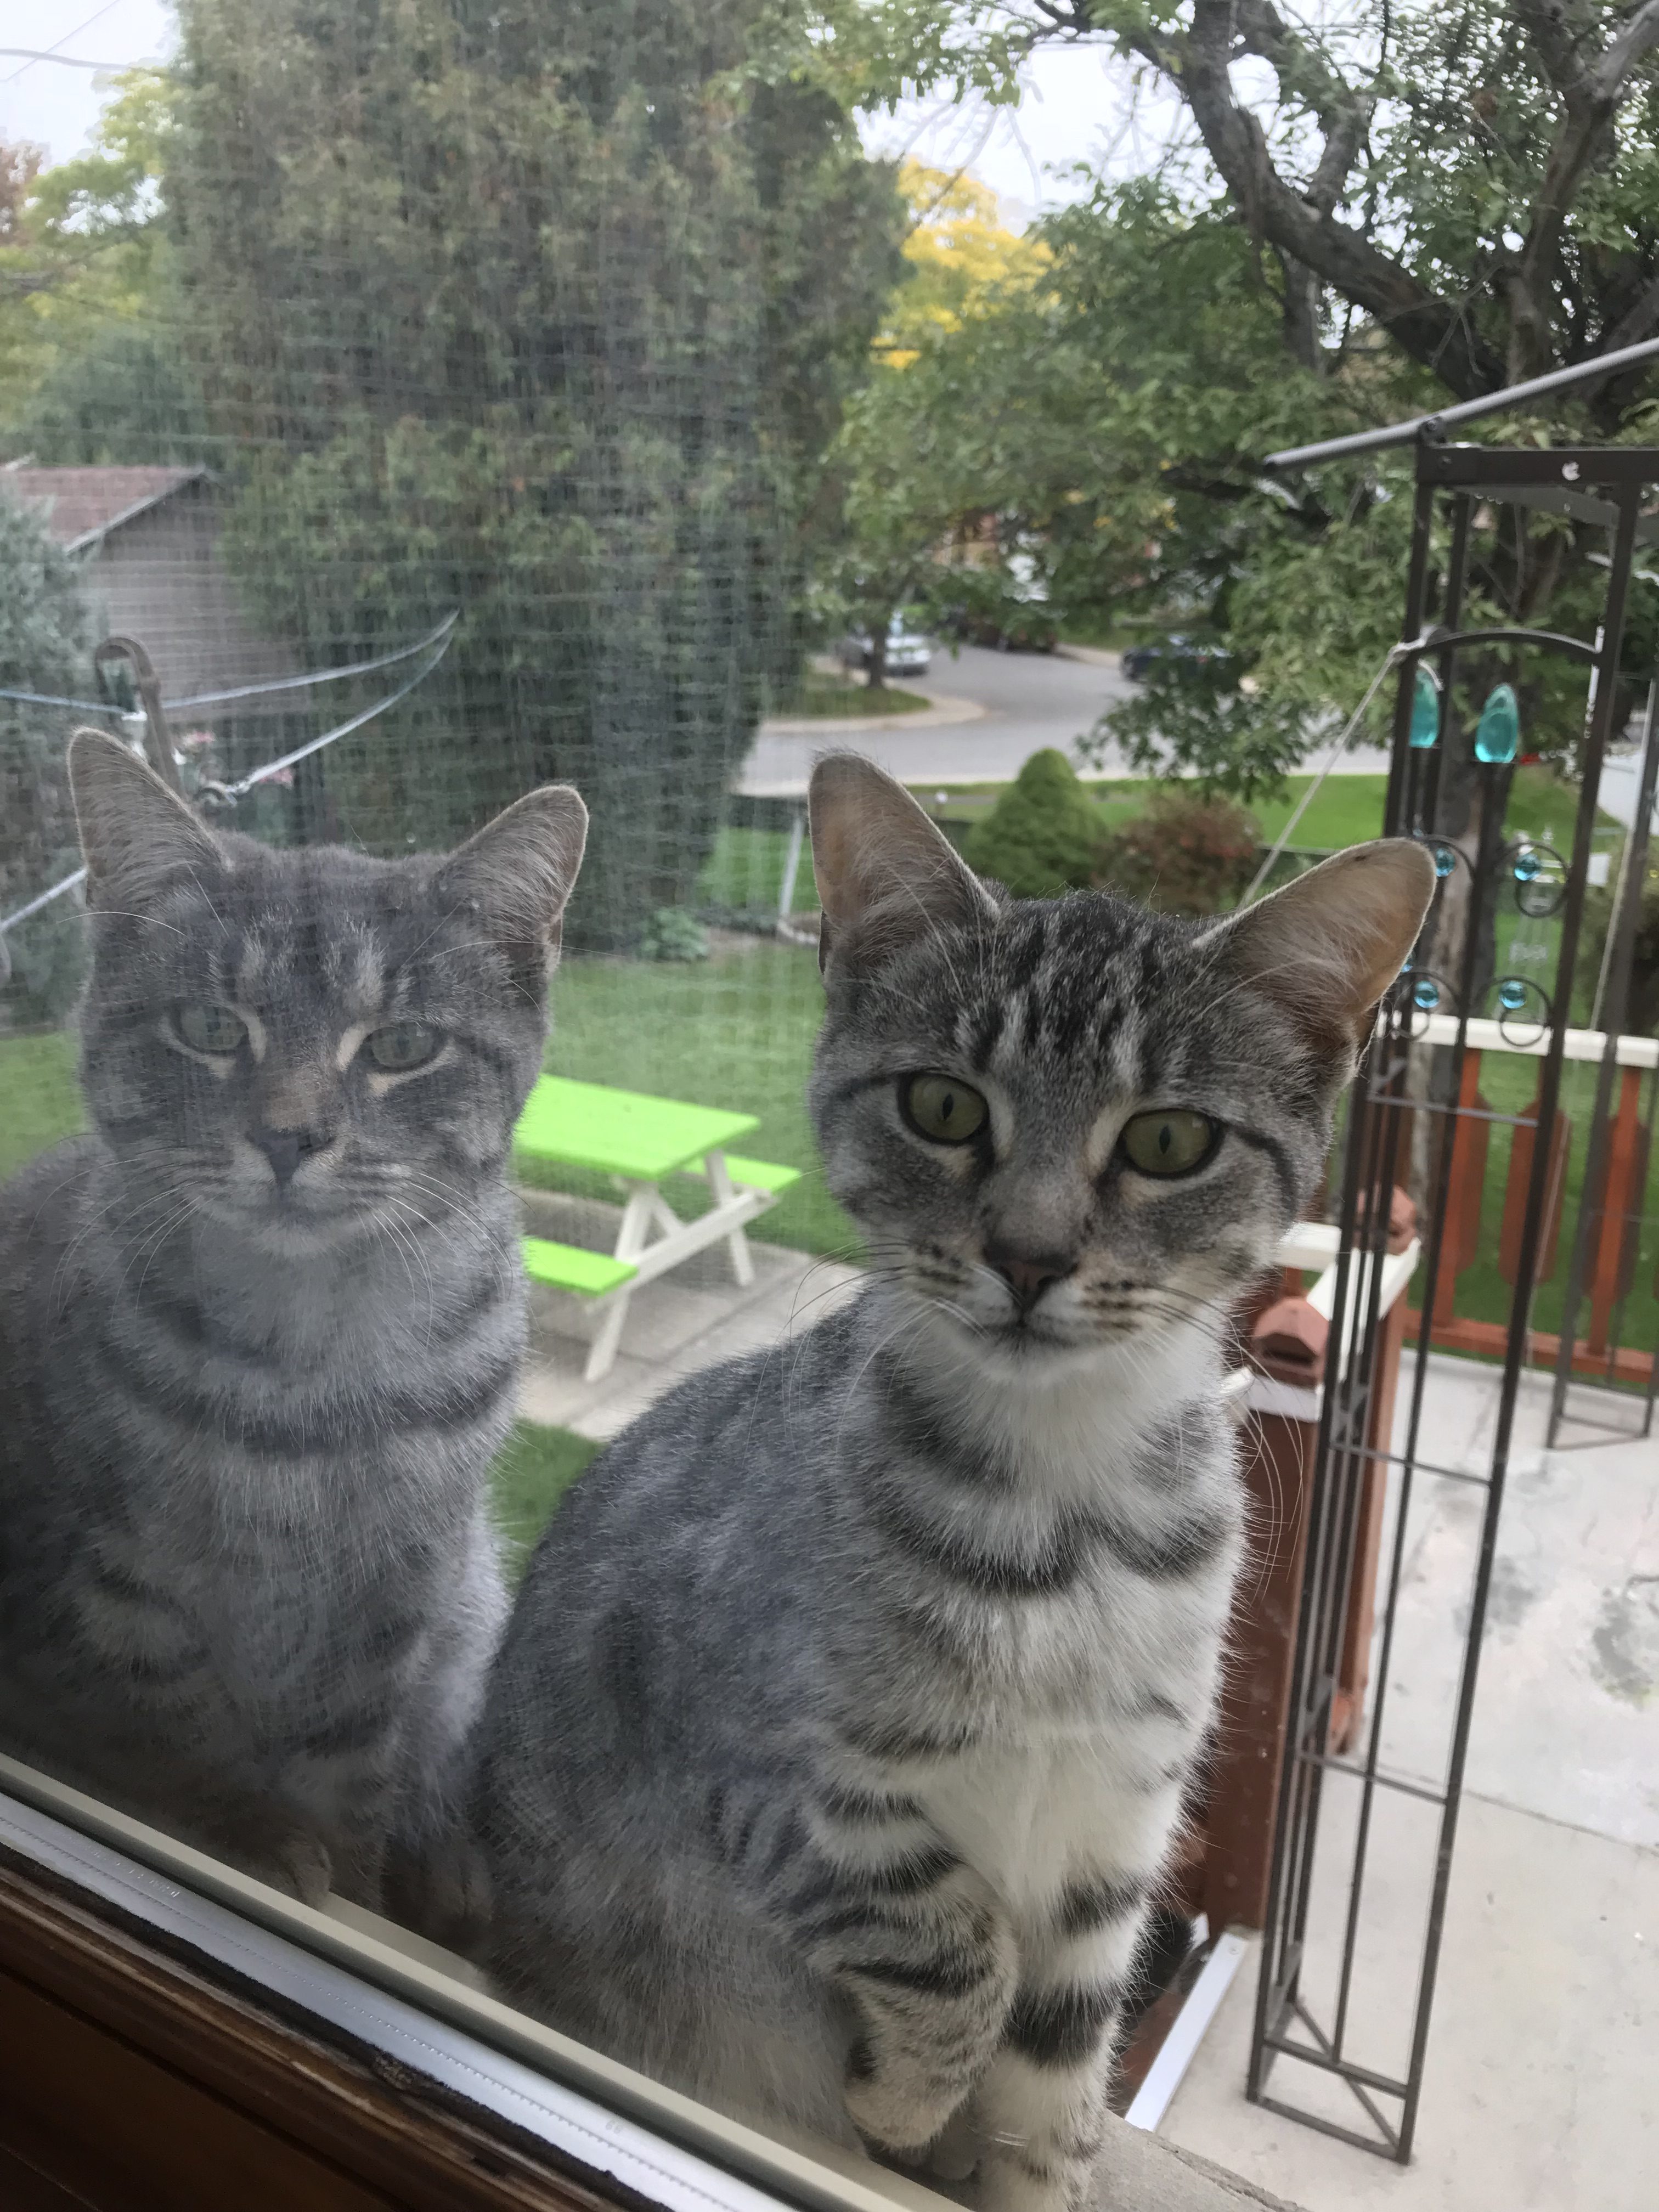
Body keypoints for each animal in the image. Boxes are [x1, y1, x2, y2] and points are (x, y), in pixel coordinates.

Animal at [0, 734, 584, 1911]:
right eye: (211, 1027)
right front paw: (255, 1842)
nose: (288, 1136)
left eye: (401, 1045)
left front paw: (347, 1876)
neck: (315, 1366)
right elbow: (183, 1733)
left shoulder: (399, 1586)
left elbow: (350, 1758)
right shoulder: (119, 1583)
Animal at [473, 752, 1433, 2203]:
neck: (1066, 1516)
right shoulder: (781, 1791)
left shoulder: (1120, 1828)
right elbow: (956, 1950)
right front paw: (903, 2105)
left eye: (1167, 1141)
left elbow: (1060, 2061)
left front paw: (1025, 2160)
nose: (1030, 1257)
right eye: (942, 1107)